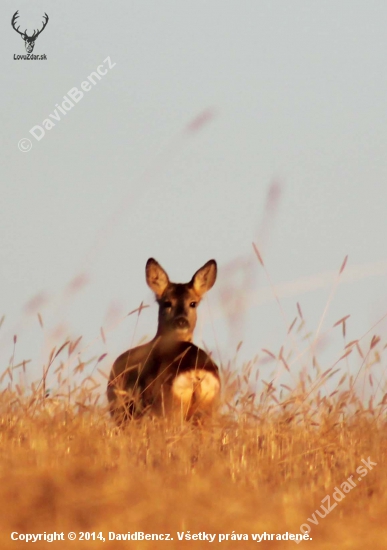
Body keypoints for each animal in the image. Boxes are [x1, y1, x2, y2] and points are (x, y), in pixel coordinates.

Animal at [107, 260, 221, 426]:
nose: (181, 320)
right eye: (167, 303)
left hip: (167, 409)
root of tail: (196, 374)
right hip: (206, 411)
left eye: (193, 303)